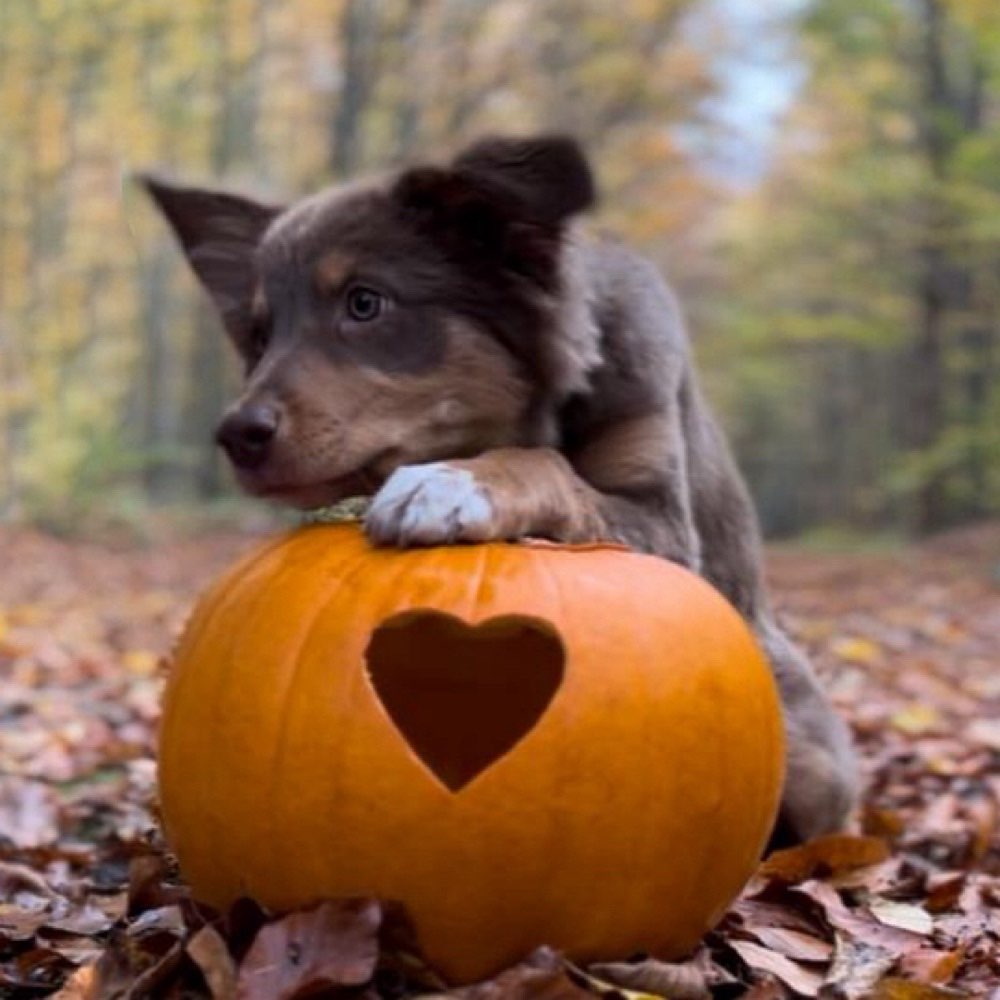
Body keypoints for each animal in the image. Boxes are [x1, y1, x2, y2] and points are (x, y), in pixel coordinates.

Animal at [143, 133, 860, 844]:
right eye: (260, 335)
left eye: (364, 302)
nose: (236, 436)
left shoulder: (664, 524)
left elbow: (544, 463)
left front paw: (450, 483)